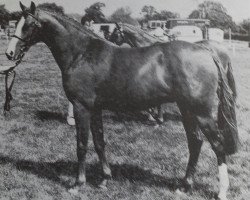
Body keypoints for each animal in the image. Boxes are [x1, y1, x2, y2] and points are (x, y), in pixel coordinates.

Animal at [5, 2, 238, 199]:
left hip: (202, 112)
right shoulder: (95, 108)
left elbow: (82, 144)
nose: (9, 52)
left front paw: (78, 183)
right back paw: (185, 186)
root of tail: (207, 52)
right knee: (195, 142)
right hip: (187, 109)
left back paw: (221, 191)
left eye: (29, 25)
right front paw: (105, 179)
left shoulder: (82, 107)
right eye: (17, 23)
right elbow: (99, 142)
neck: (82, 53)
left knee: (217, 145)